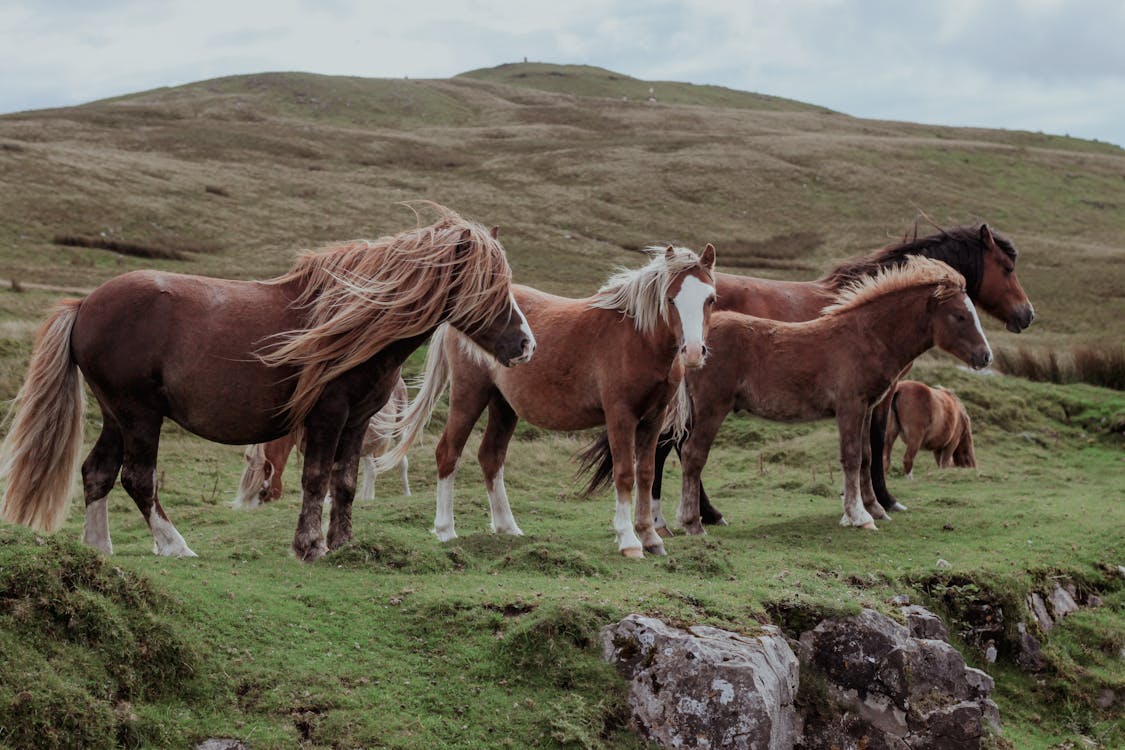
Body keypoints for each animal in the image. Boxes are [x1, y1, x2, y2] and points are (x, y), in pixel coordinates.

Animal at [232, 375, 414, 510]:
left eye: (263, 492)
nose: (252, 511)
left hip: (398, 429)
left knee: (402, 462)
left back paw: (407, 495)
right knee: (371, 470)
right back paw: (367, 499)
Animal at [373, 246, 715, 557]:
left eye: (710, 298)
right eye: (671, 299)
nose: (693, 351)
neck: (638, 338)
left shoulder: (653, 419)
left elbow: (645, 474)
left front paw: (650, 537)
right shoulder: (621, 416)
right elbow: (624, 474)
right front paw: (629, 541)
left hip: (503, 406)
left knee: (491, 457)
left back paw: (507, 527)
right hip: (469, 396)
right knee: (448, 453)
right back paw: (446, 530)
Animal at [580, 258, 994, 532]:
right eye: (960, 316)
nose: (985, 356)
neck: (863, 336)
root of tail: (690, 345)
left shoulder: (863, 409)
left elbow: (864, 457)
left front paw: (871, 510)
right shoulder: (850, 406)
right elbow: (851, 457)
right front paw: (860, 517)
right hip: (712, 407)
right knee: (693, 455)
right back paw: (692, 522)